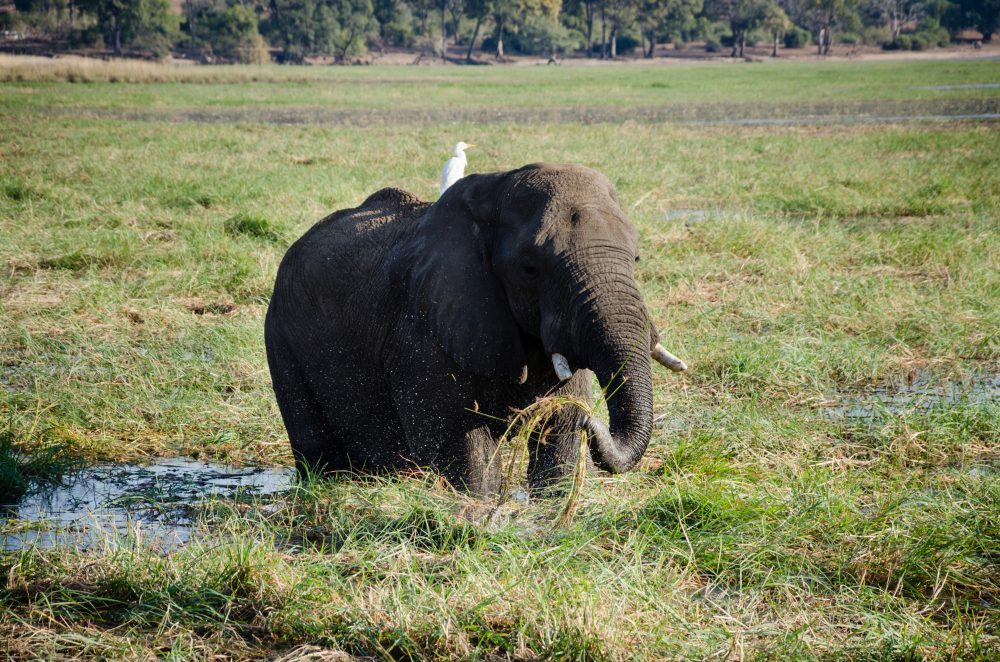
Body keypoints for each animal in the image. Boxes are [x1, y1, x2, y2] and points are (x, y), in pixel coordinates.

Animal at [264, 163, 686, 495]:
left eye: (636, 258)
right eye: (530, 268)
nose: (592, 422)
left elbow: (558, 432)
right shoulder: (423, 329)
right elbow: (461, 443)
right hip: (281, 339)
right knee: (316, 446)